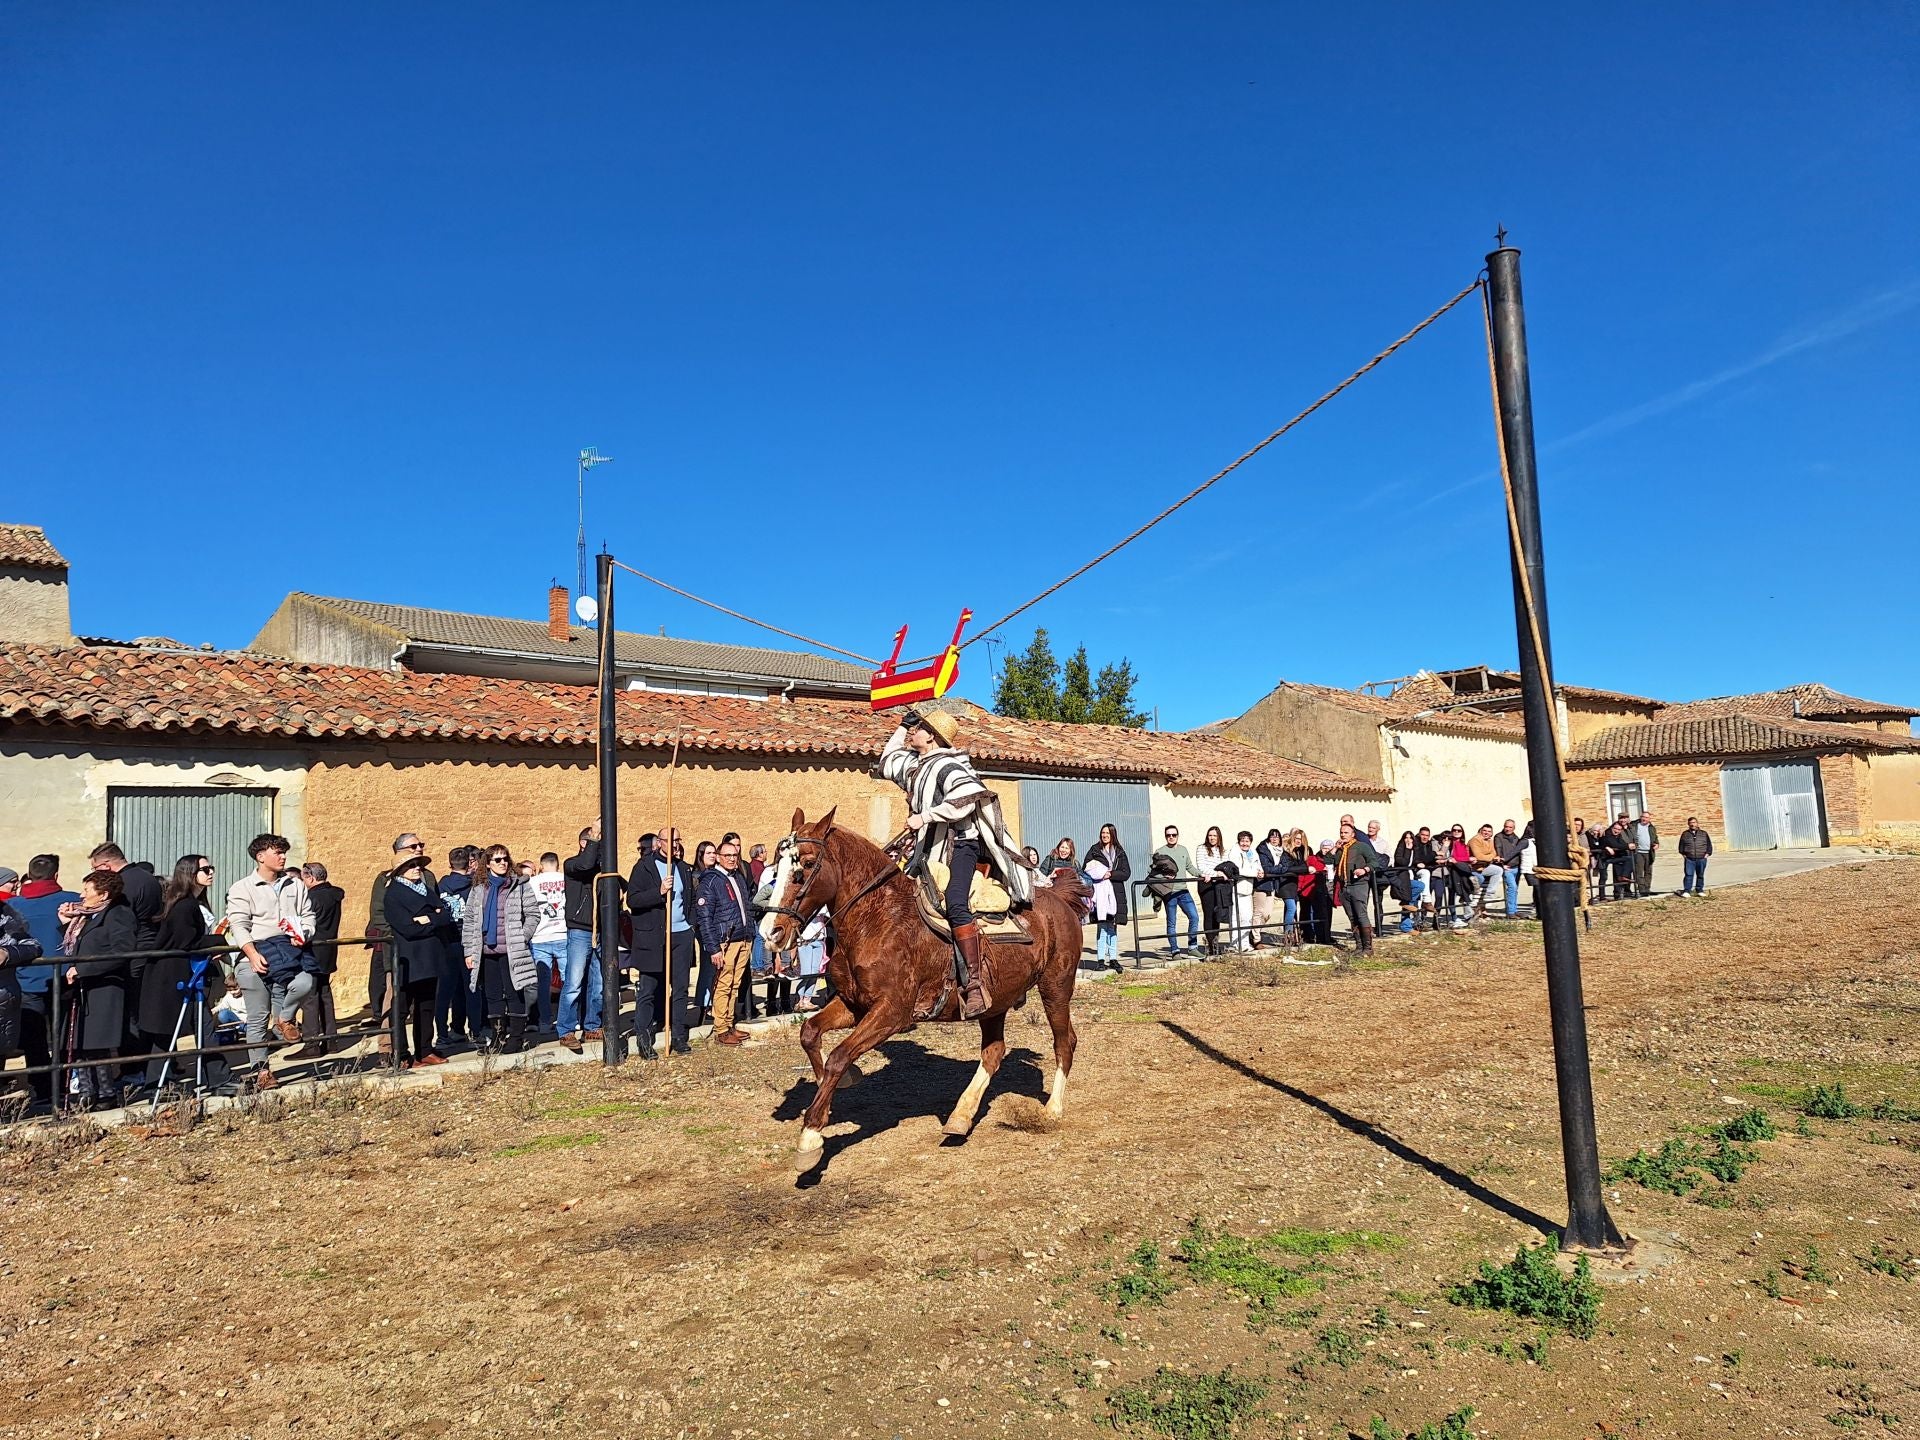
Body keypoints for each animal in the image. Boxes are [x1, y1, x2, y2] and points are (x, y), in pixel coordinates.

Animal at [760, 806, 1090, 1175]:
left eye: (804, 864)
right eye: (775, 865)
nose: (770, 932)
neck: (877, 918)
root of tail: (1058, 899)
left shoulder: (892, 1013)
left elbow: (839, 1057)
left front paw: (811, 1137)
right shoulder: (853, 1005)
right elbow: (809, 1032)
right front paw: (839, 1088)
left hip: (1055, 988)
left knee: (1064, 1042)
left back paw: (1052, 1109)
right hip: (995, 1003)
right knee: (993, 1052)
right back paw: (960, 1116)